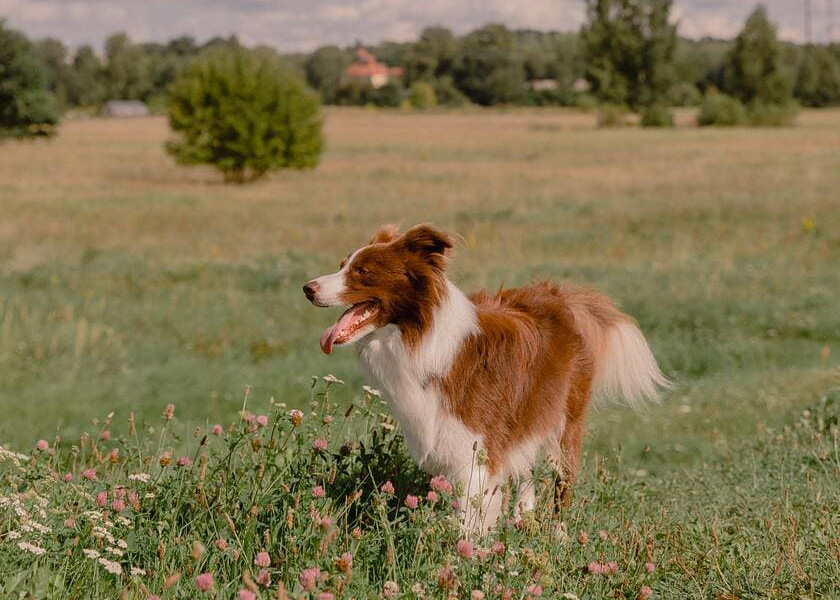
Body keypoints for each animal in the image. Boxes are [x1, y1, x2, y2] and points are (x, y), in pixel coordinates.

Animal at [306, 224, 668, 528]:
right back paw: (524, 517)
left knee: (561, 480)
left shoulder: (475, 453)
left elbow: (470, 520)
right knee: (526, 468)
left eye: (362, 271)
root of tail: (559, 295)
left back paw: (558, 534)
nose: (307, 288)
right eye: (342, 264)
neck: (419, 338)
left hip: (565, 420)